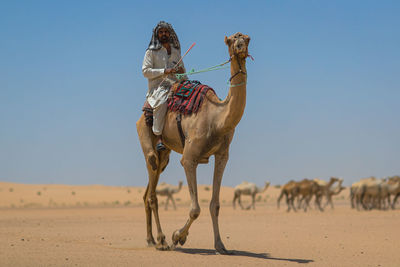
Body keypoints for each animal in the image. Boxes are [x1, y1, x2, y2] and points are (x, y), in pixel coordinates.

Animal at [138, 32, 250, 254]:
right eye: (233, 40)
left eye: (248, 39)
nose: (241, 47)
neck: (217, 118)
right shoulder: (189, 158)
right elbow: (195, 208)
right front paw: (177, 236)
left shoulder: (222, 155)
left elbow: (214, 205)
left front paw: (221, 246)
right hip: (147, 137)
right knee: (152, 190)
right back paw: (162, 240)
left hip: (165, 156)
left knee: (149, 191)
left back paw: (150, 239)